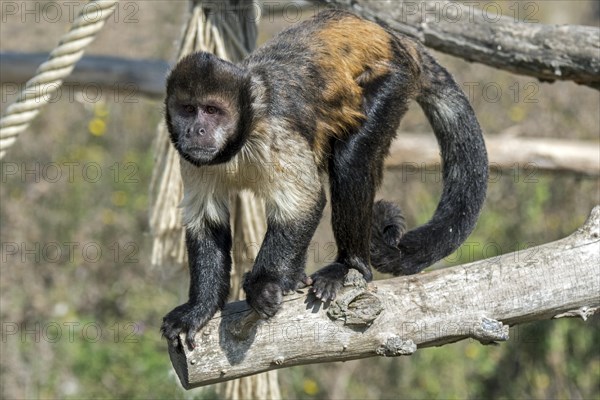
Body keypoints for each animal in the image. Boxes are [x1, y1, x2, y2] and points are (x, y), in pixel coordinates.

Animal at [161, 7, 488, 348]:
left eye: (212, 110)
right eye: (189, 109)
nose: (197, 129)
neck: (240, 140)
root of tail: (393, 38)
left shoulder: (274, 131)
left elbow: (304, 203)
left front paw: (264, 284)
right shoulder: (191, 158)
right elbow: (206, 220)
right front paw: (201, 308)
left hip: (393, 79)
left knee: (351, 157)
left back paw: (350, 266)